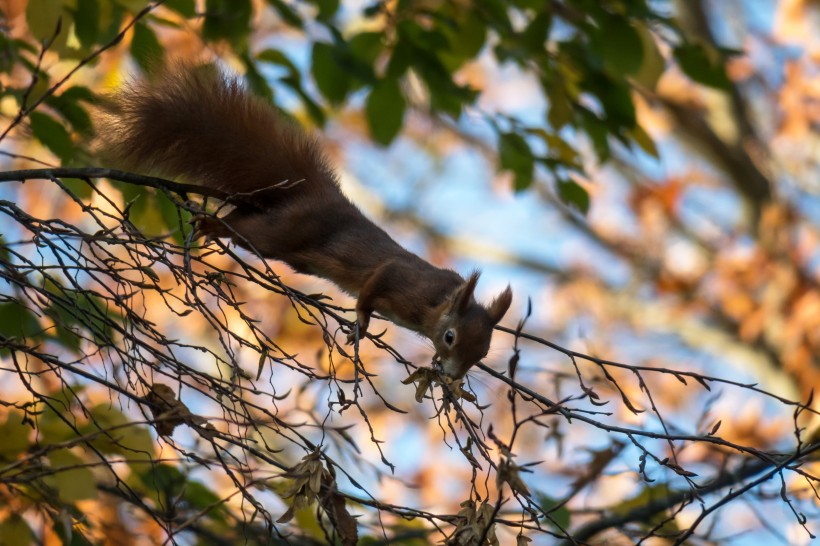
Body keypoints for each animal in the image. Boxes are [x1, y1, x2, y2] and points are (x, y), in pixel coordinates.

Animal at [97, 65, 512, 378]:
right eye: (450, 337)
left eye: (484, 353)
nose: (454, 375)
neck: (439, 301)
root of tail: (316, 195)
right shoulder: (400, 278)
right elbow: (373, 286)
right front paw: (362, 322)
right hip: (286, 231)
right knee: (250, 230)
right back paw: (211, 227)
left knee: (243, 218)